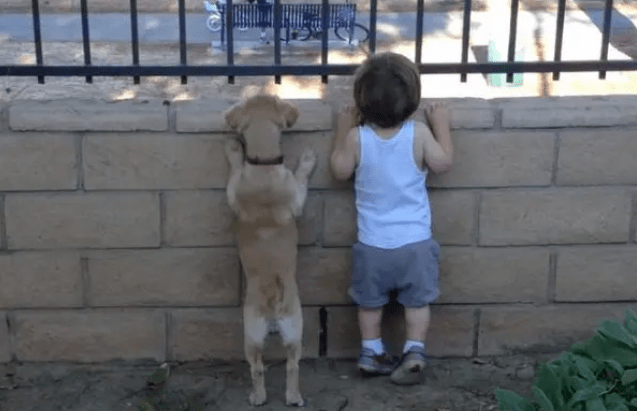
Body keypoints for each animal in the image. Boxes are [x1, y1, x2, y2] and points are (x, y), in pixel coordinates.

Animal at [222, 95, 316, 408]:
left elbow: (235, 168)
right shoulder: (296, 197)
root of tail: (274, 294)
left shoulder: (234, 189)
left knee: (261, 366)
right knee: (288, 365)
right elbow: (300, 178)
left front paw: (234, 150)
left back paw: (265, 396)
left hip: (258, 333)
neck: (263, 165)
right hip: (292, 329)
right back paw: (288, 397)